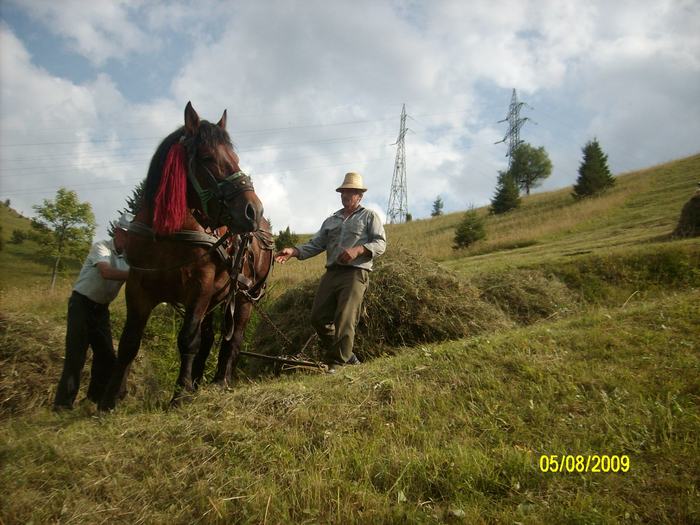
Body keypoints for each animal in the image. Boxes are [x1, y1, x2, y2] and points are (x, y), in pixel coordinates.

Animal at [101, 102, 268, 410]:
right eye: (208, 157)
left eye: (235, 157)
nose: (253, 210)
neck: (168, 234)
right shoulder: (138, 288)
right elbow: (130, 341)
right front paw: (109, 399)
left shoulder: (199, 287)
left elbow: (188, 340)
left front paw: (180, 395)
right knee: (210, 337)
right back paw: (199, 382)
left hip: (244, 298)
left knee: (233, 339)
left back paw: (221, 381)